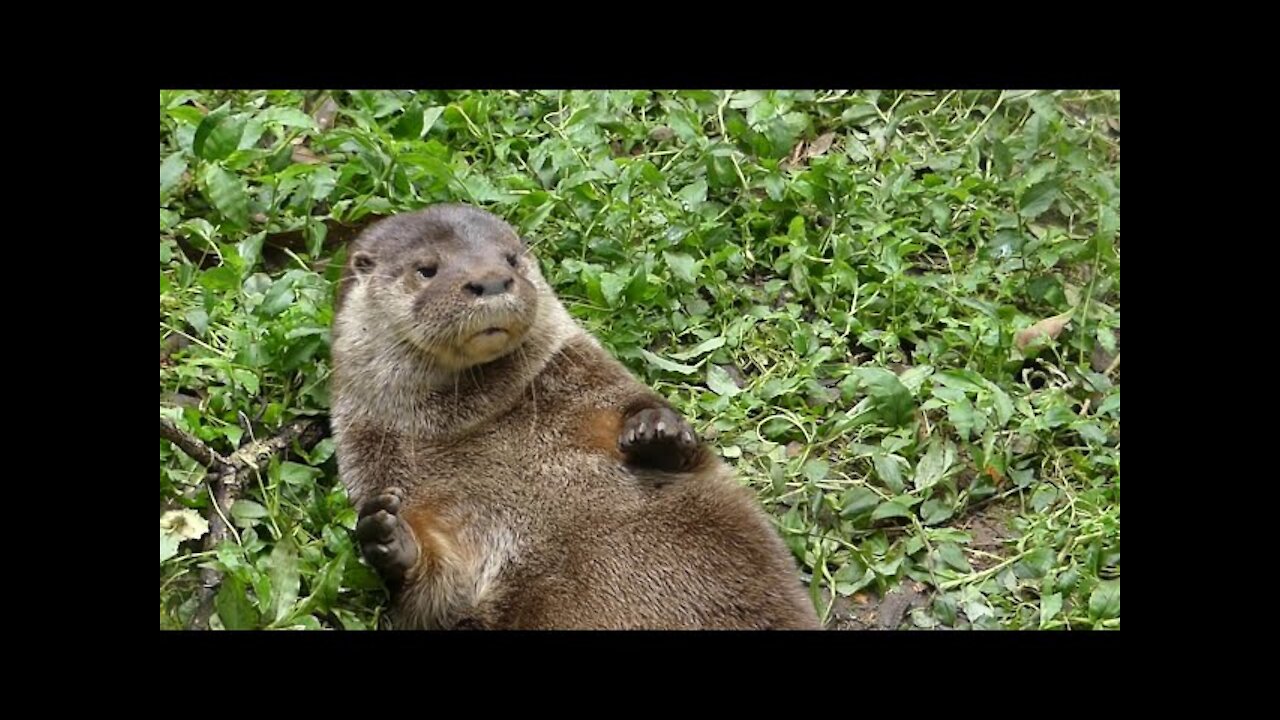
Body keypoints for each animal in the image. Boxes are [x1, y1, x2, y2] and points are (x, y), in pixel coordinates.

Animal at [332, 203, 819, 627]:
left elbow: (684, 450)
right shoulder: (377, 465)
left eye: (512, 259)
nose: (491, 280)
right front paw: (388, 535)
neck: (469, 421)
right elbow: (438, 592)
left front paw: (657, 430)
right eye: (427, 269)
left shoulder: (592, 376)